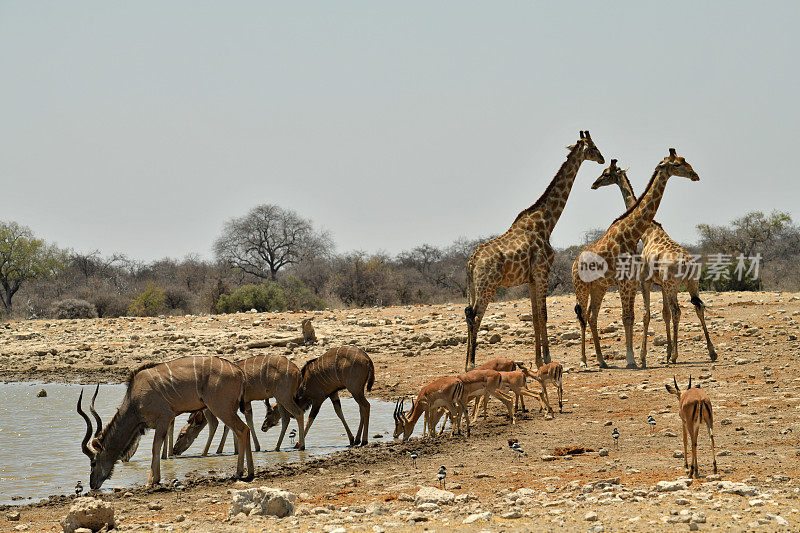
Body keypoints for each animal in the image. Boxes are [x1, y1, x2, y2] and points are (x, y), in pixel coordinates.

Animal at [77, 356, 253, 488]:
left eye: (93, 463)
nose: (92, 484)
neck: (134, 399)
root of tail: (239, 372)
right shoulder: (164, 422)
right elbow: (161, 446)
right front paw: (157, 479)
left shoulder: (164, 418)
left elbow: (155, 447)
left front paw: (150, 481)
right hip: (229, 409)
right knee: (246, 429)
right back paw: (250, 472)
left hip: (220, 408)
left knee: (242, 429)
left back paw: (239, 472)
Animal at [173, 354, 308, 454]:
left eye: (181, 435)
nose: (175, 451)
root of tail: (297, 372)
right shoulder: (245, 403)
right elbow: (246, 421)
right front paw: (248, 448)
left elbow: (227, 426)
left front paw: (221, 450)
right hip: (280, 399)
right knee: (286, 419)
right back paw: (277, 447)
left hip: (284, 397)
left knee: (298, 413)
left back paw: (301, 446)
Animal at [466, 130, 604, 370]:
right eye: (594, 147)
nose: (603, 158)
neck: (546, 223)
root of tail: (471, 262)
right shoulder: (542, 272)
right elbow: (543, 314)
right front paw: (547, 358)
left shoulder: (531, 278)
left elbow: (534, 316)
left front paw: (538, 359)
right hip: (487, 285)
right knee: (475, 316)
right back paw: (472, 364)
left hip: (474, 288)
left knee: (467, 315)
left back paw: (466, 364)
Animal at [572, 148, 696, 368]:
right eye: (677, 164)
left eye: (683, 162)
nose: (695, 175)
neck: (634, 233)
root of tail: (574, 262)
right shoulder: (629, 281)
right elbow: (629, 316)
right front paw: (634, 359)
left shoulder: (632, 281)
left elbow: (631, 316)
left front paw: (634, 359)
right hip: (582, 286)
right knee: (583, 317)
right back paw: (584, 361)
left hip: (599, 287)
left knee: (592, 316)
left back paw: (602, 361)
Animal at [592, 160, 716, 364]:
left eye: (606, 173)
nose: (594, 184)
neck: (648, 232)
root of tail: (687, 263)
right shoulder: (661, 285)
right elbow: (664, 314)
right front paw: (666, 352)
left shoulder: (646, 281)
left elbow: (647, 314)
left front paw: (644, 356)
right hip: (692, 282)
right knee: (698, 307)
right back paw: (711, 352)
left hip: (674, 284)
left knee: (677, 310)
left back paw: (675, 356)